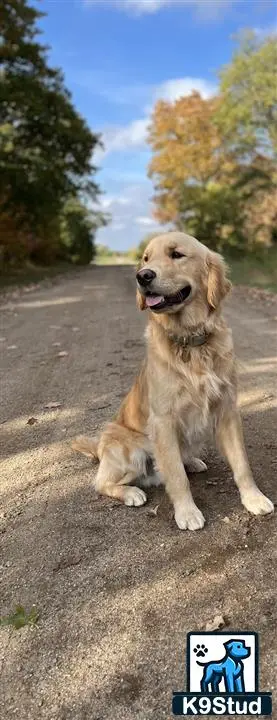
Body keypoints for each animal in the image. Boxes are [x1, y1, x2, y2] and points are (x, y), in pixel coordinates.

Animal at [72, 231, 272, 528]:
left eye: (176, 254)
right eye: (146, 258)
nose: (142, 276)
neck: (191, 340)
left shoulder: (227, 409)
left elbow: (242, 464)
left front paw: (253, 499)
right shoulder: (164, 420)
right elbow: (177, 476)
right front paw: (187, 513)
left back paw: (192, 462)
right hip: (130, 451)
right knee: (102, 483)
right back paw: (131, 492)